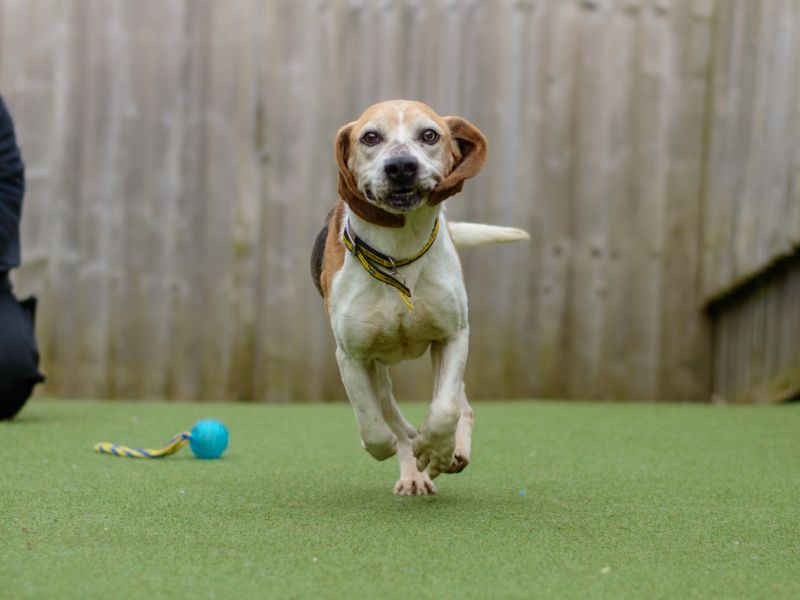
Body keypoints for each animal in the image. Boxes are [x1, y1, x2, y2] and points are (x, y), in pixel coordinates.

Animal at [314, 101, 532, 494]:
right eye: (370, 137)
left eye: (429, 135)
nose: (401, 165)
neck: (399, 253)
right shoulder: (351, 356)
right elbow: (373, 428)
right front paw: (405, 448)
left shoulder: (453, 335)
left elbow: (445, 409)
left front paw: (436, 448)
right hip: (377, 369)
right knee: (392, 417)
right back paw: (414, 469)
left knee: (461, 405)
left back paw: (449, 452)